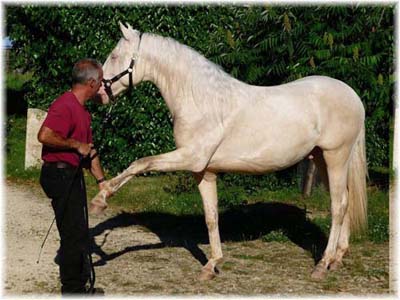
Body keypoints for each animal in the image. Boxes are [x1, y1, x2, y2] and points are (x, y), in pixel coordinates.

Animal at [90, 21, 366, 282]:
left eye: (114, 56)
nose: (99, 94)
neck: (202, 100)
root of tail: (352, 95)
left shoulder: (190, 157)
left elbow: (141, 163)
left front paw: (101, 198)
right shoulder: (203, 171)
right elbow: (211, 217)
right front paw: (212, 265)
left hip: (336, 156)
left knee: (338, 205)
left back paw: (323, 264)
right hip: (321, 159)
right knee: (345, 201)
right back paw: (337, 258)